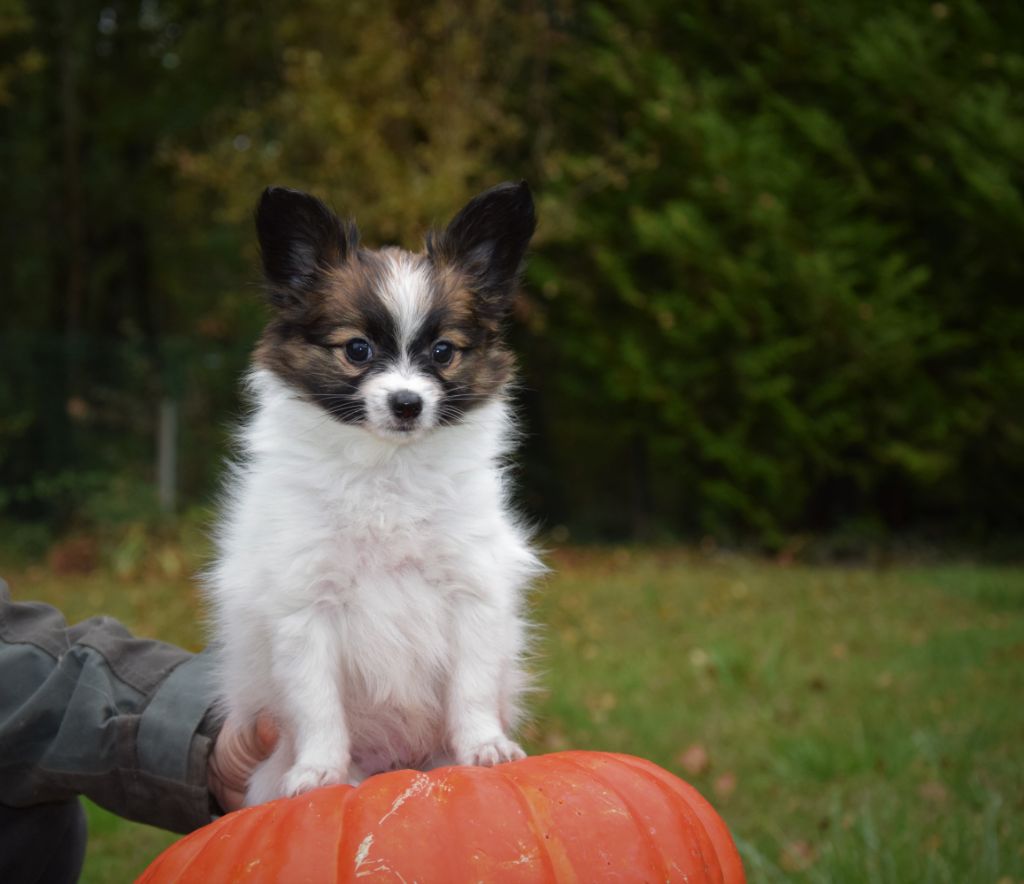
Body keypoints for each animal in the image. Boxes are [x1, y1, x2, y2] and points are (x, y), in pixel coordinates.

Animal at [205, 183, 544, 807]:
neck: (387, 472)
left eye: (442, 352)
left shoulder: (473, 588)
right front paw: (319, 772)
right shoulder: (304, 604)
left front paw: (484, 746)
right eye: (357, 350)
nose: (407, 404)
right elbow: (317, 703)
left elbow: (473, 684)